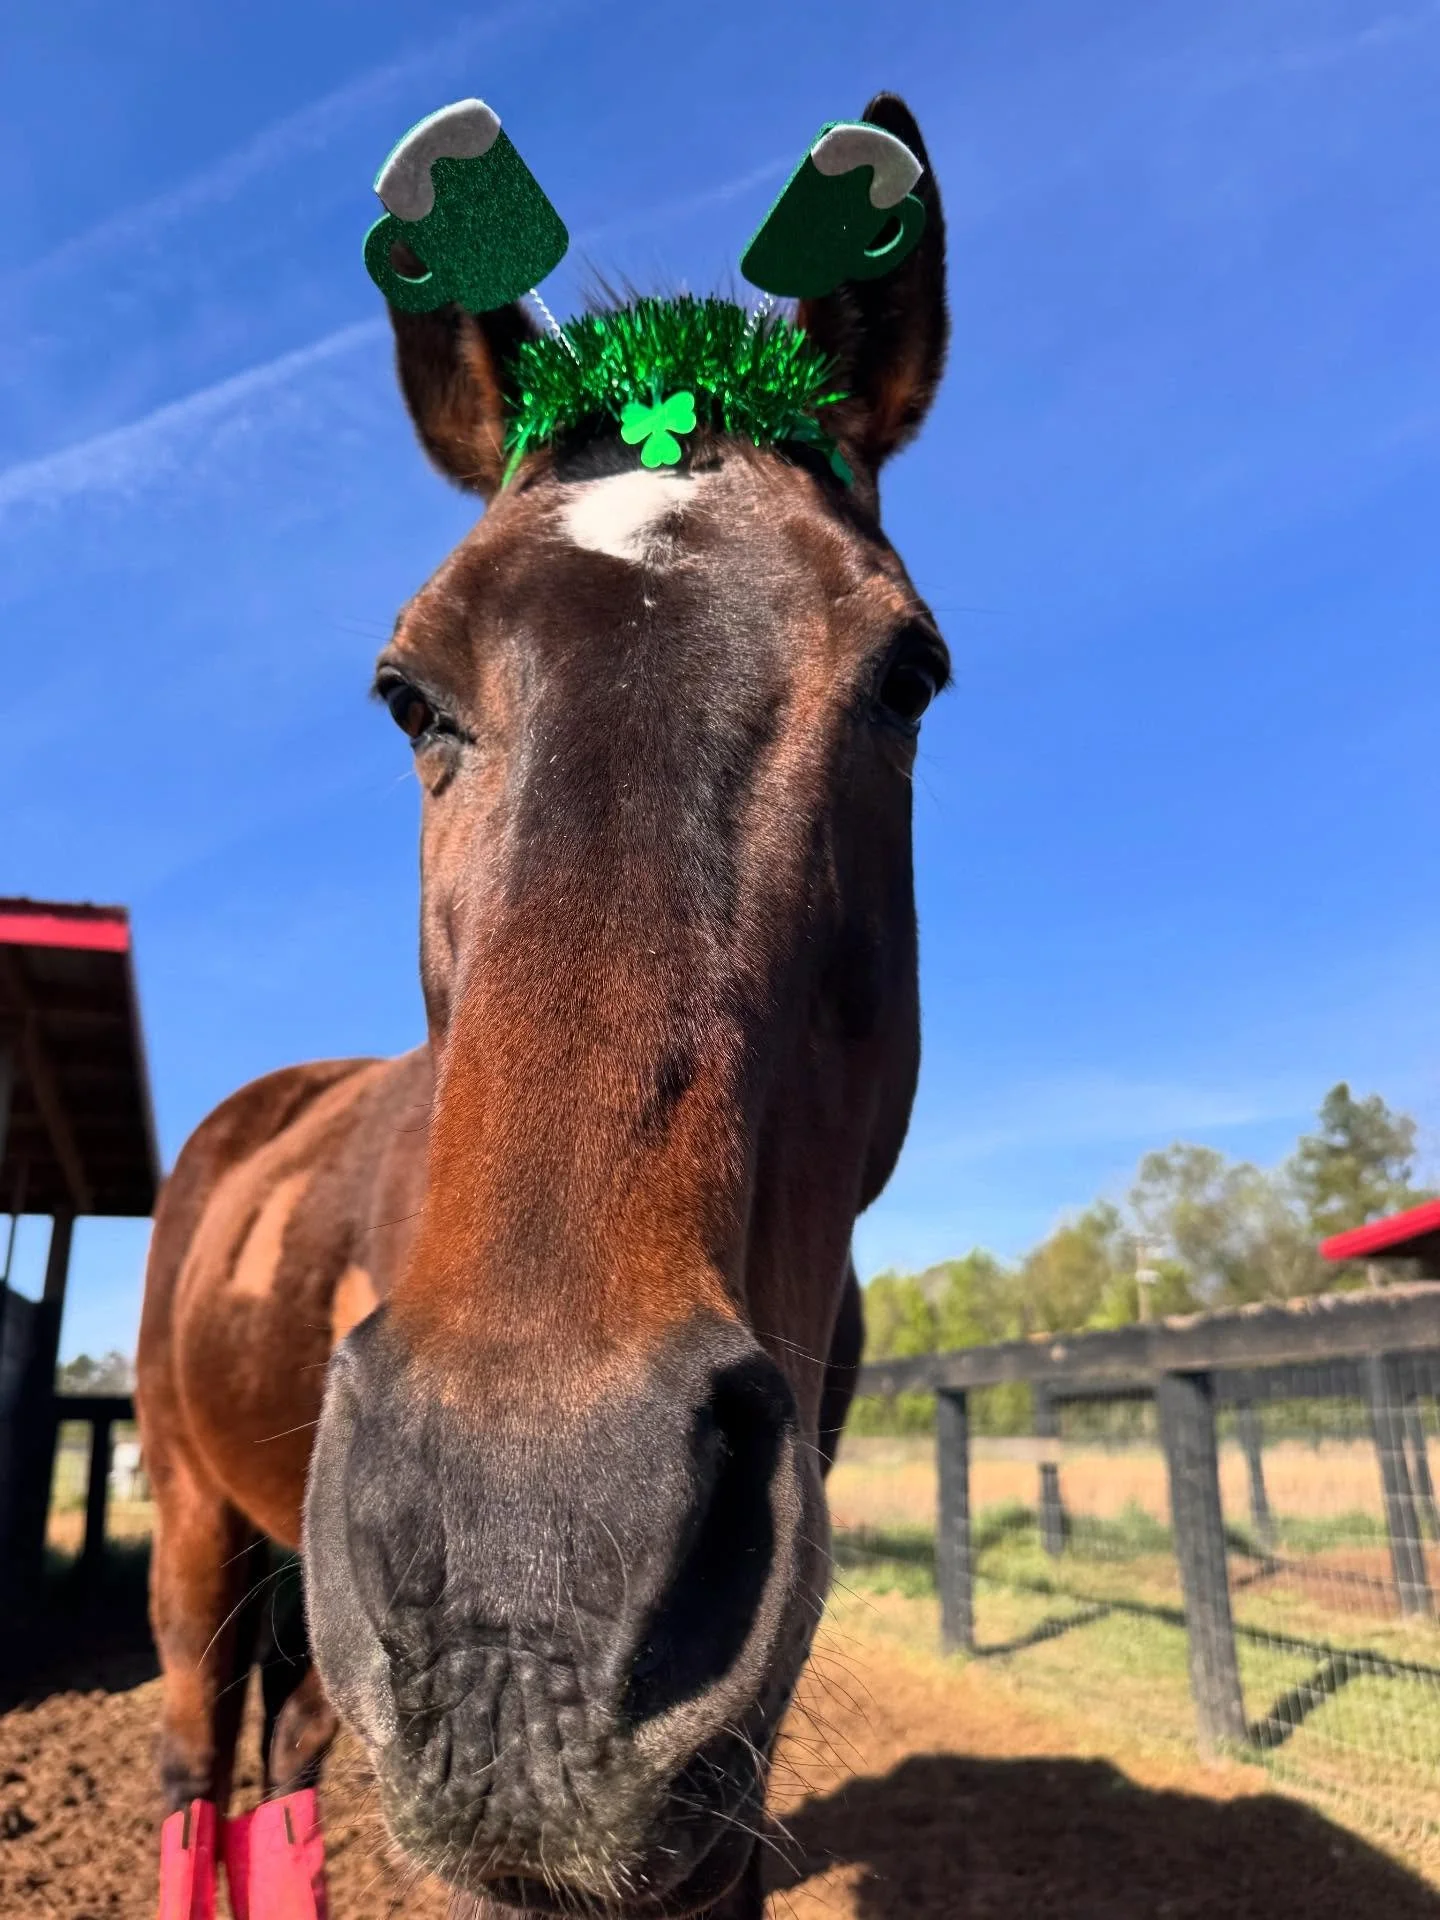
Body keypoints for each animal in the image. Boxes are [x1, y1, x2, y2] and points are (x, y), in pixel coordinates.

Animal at [135, 90, 949, 1920]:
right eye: (407, 692)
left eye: (907, 678)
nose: (524, 1567)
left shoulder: (728, 1759)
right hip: (194, 1519)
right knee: (197, 1765)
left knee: (285, 1768)